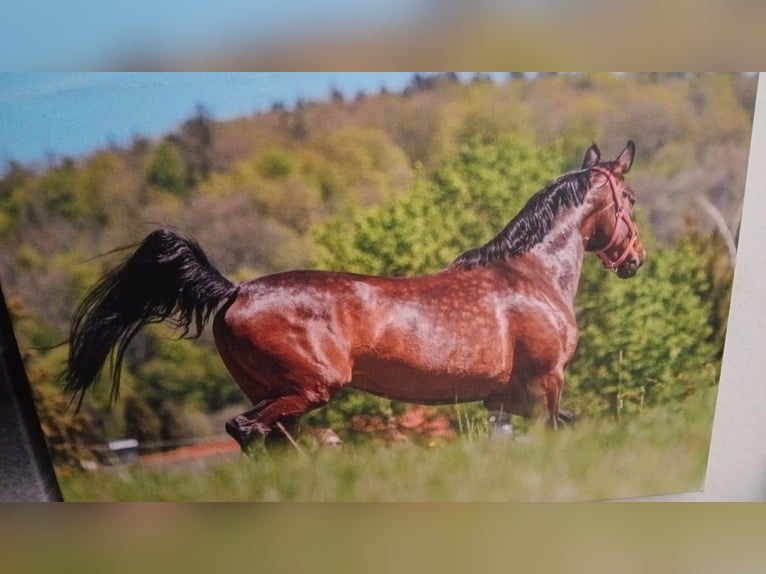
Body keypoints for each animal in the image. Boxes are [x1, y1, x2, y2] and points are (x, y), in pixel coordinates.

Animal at [66, 142, 644, 452]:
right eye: (631, 199)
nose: (635, 259)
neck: (531, 274)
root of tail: (235, 291)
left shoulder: (504, 398)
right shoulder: (546, 382)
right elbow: (556, 429)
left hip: (280, 393)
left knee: (269, 437)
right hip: (310, 387)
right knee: (248, 430)